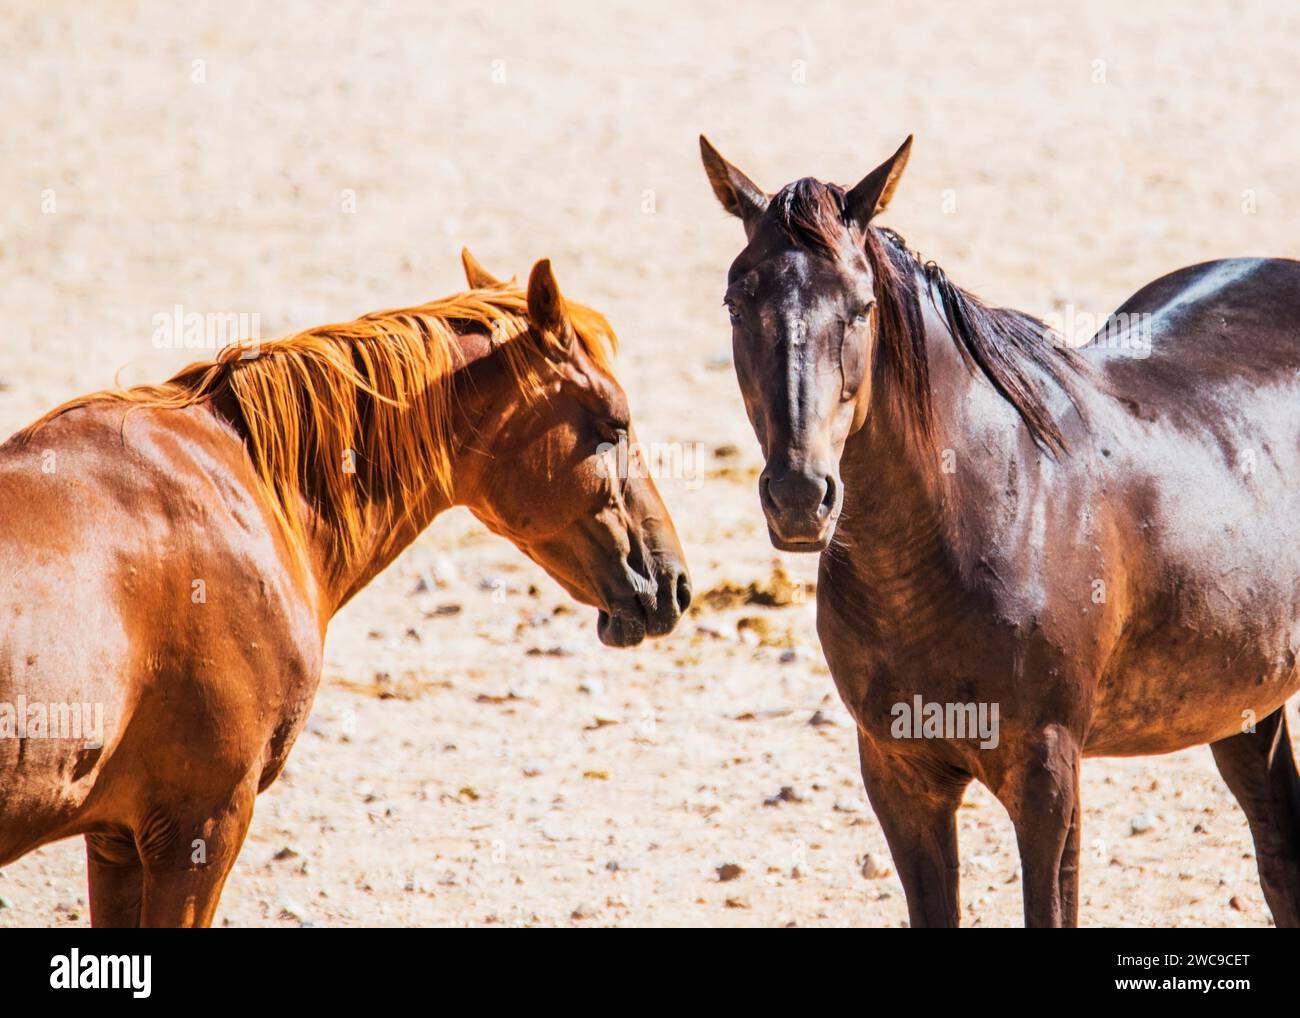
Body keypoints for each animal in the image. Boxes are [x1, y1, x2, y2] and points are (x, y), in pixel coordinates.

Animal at [700, 134, 1300, 927]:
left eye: (862, 306)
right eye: (737, 302)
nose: (800, 494)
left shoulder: (1047, 778)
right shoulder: (899, 777)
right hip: (1244, 705)